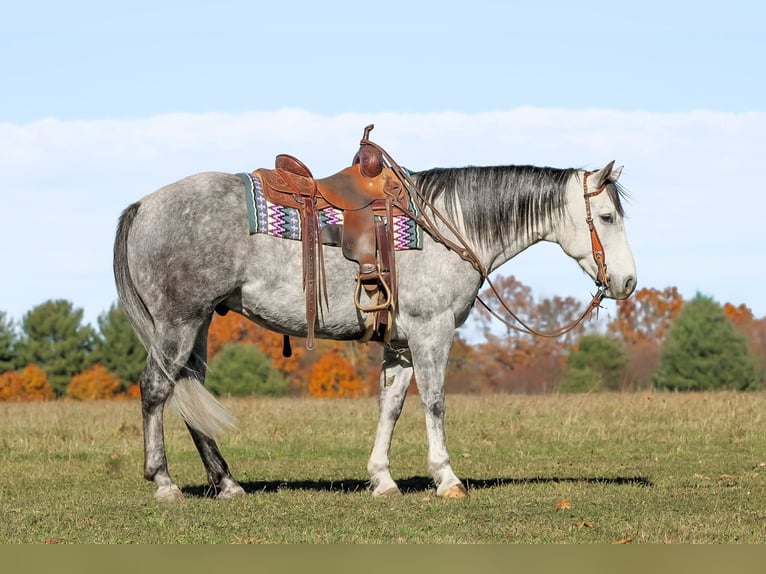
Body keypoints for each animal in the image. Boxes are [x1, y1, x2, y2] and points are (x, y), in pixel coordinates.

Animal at [113, 149, 636, 501]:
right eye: (607, 216)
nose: (628, 281)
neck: (448, 226)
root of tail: (143, 206)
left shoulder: (400, 344)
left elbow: (391, 407)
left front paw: (382, 479)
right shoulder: (432, 331)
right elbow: (434, 402)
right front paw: (447, 478)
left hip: (197, 324)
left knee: (190, 394)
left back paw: (226, 483)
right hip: (178, 323)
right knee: (157, 389)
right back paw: (164, 482)